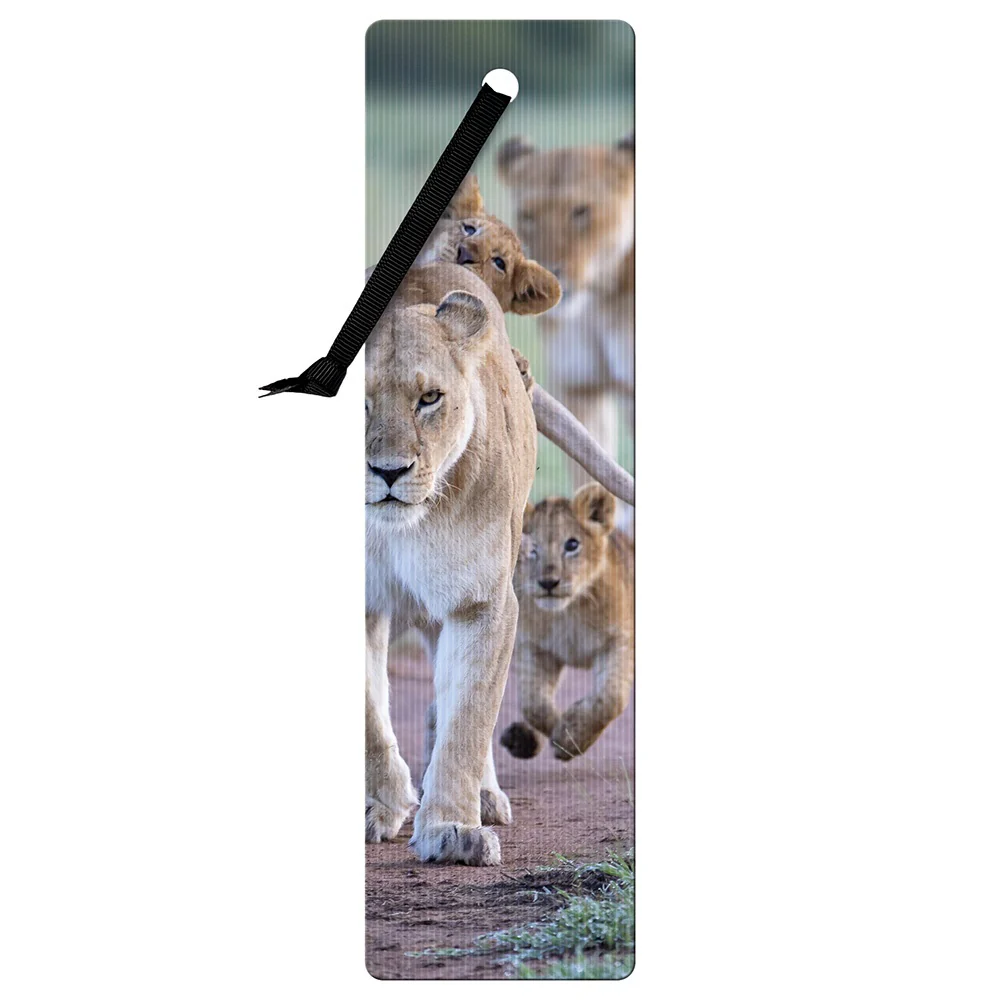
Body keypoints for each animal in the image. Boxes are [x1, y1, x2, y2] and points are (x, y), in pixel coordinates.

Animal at [500, 482, 634, 761]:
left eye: (572, 544)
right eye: (532, 548)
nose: (548, 583)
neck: (569, 612)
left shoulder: (620, 641)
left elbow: (611, 698)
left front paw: (574, 736)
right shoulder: (535, 648)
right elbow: (533, 704)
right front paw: (562, 733)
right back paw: (521, 739)